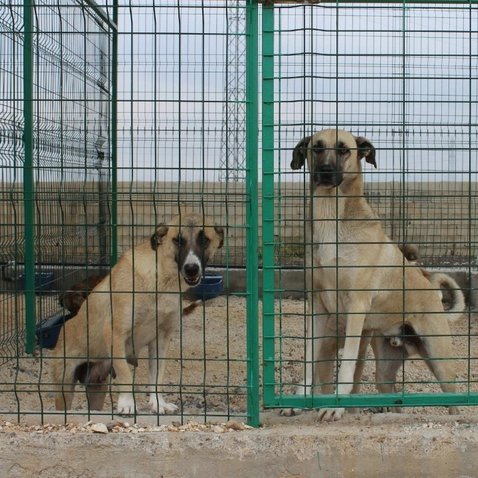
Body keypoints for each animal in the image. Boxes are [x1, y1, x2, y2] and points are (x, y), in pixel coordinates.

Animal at [51, 213, 223, 414]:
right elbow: (126, 374)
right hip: (64, 387)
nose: (191, 268)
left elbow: (157, 376)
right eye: (178, 240)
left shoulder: (161, 339)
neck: (160, 281)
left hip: (97, 388)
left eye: (204, 240)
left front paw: (158, 403)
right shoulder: (115, 333)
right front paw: (127, 403)